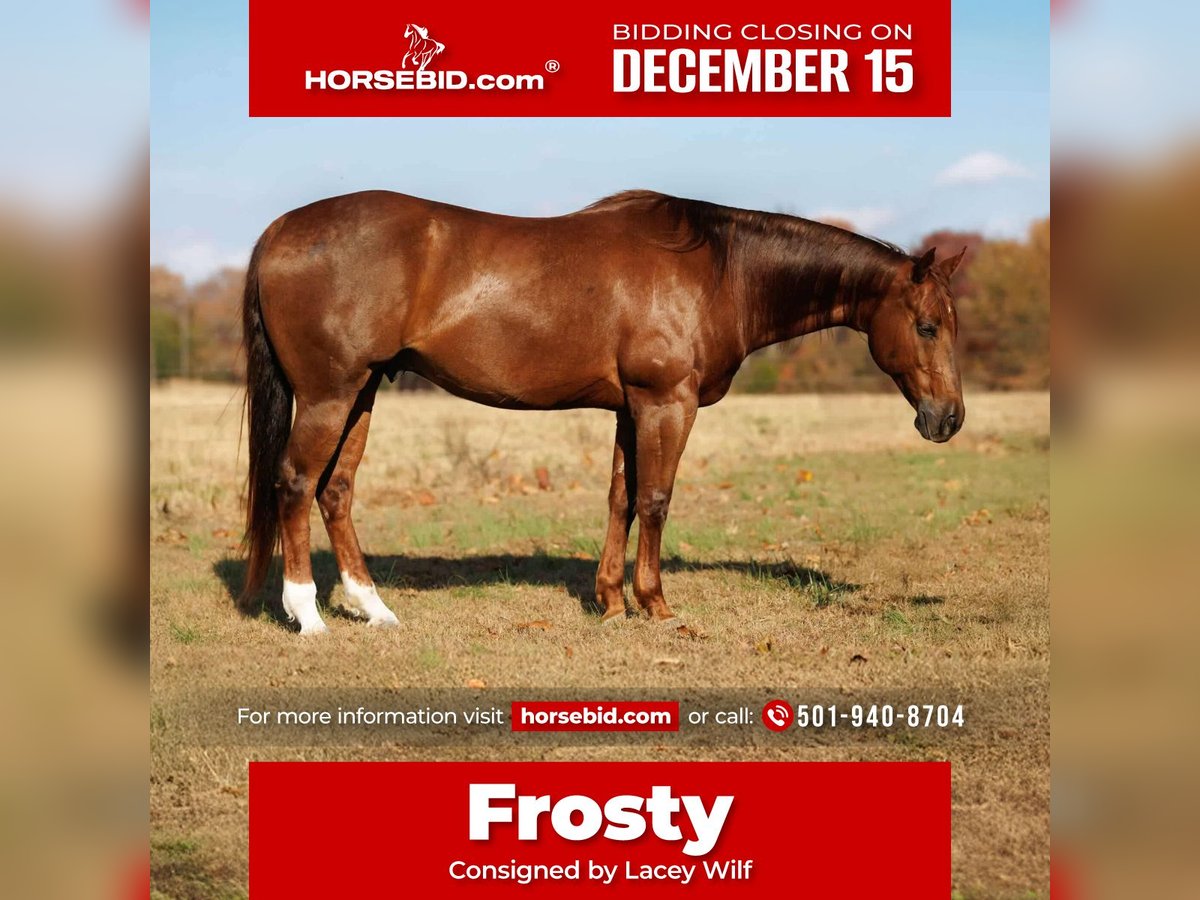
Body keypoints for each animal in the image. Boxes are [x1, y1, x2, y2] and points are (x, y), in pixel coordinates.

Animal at [240, 190, 966, 634]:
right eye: (927, 326)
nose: (948, 419)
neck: (717, 271)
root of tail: (279, 230)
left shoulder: (630, 407)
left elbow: (621, 497)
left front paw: (611, 601)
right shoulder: (666, 403)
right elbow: (656, 500)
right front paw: (656, 604)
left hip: (362, 392)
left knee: (336, 490)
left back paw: (374, 608)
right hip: (331, 394)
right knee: (295, 485)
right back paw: (307, 614)